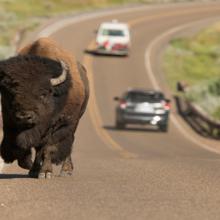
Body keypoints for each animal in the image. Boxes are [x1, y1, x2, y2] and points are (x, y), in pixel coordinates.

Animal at [0, 37, 88, 179]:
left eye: (43, 94)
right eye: (11, 93)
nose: (25, 116)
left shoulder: (59, 127)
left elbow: (48, 148)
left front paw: (46, 172)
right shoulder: (10, 122)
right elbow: (23, 146)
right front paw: (30, 166)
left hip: (75, 121)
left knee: (69, 143)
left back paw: (66, 171)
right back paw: (34, 170)